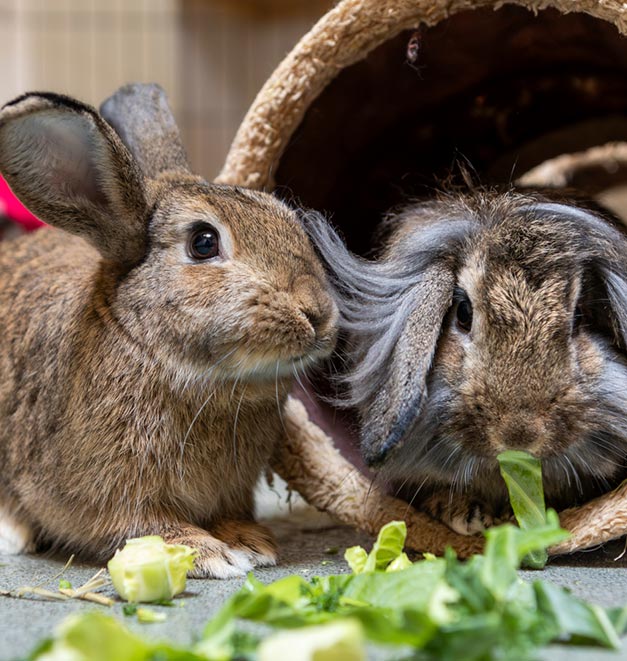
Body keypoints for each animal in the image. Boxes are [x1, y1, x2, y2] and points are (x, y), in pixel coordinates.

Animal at [0, 84, 337, 577]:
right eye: (203, 242)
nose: (318, 313)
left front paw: (250, 542)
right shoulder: (111, 495)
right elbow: (143, 525)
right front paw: (208, 553)